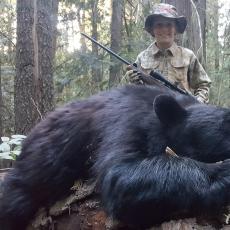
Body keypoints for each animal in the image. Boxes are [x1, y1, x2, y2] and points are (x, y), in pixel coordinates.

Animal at [0, 84, 230, 230]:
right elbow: (120, 175)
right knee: (14, 199)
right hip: (32, 173)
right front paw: (222, 172)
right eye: (225, 125)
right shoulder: (126, 120)